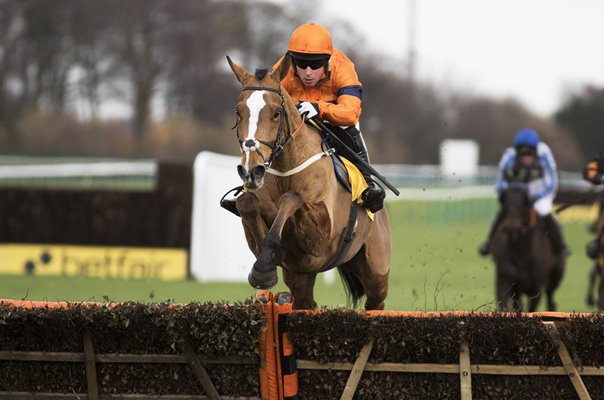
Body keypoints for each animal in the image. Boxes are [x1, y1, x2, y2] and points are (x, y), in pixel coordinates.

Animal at [225, 54, 392, 310]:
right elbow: (248, 203)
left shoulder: (321, 235)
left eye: (276, 112)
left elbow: (291, 198)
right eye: (238, 111)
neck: (286, 167)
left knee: (376, 301)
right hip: (302, 278)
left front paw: (265, 264)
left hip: (376, 270)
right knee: (306, 301)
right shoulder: (294, 260)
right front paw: (265, 264)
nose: (251, 170)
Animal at [490, 184, 568, 312]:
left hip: (556, 275)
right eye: (504, 206)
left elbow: (531, 309)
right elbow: (508, 305)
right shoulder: (508, 282)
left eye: (523, 206)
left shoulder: (536, 288)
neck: (521, 254)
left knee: (551, 295)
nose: (511, 228)